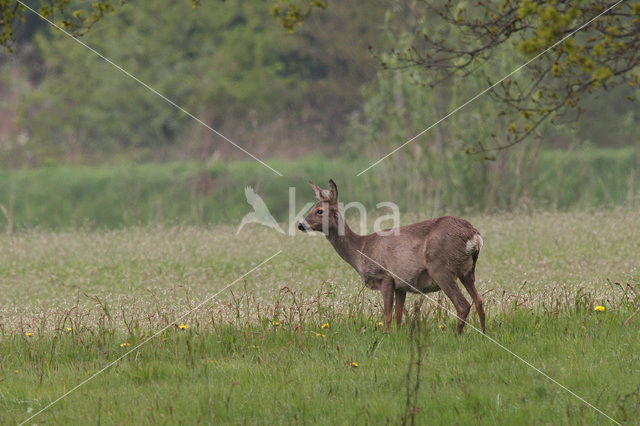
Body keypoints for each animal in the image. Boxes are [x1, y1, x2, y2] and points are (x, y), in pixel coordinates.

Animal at [296, 178, 484, 334]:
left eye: (319, 211)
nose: (300, 225)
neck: (360, 249)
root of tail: (474, 235)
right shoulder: (401, 285)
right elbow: (398, 317)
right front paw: (397, 337)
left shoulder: (385, 276)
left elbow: (387, 315)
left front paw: (385, 337)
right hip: (468, 271)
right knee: (479, 301)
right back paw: (483, 335)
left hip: (441, 267)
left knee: (463, 305)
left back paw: (457, 336)